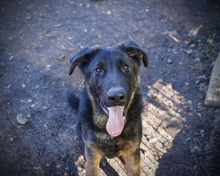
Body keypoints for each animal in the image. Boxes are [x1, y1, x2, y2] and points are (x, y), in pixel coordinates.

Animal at [68, 40, 149, 175]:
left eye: (125, 67)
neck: (111, 136)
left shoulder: (132, 154)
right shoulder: (92, 156)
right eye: (98, 70)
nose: (116, 97)